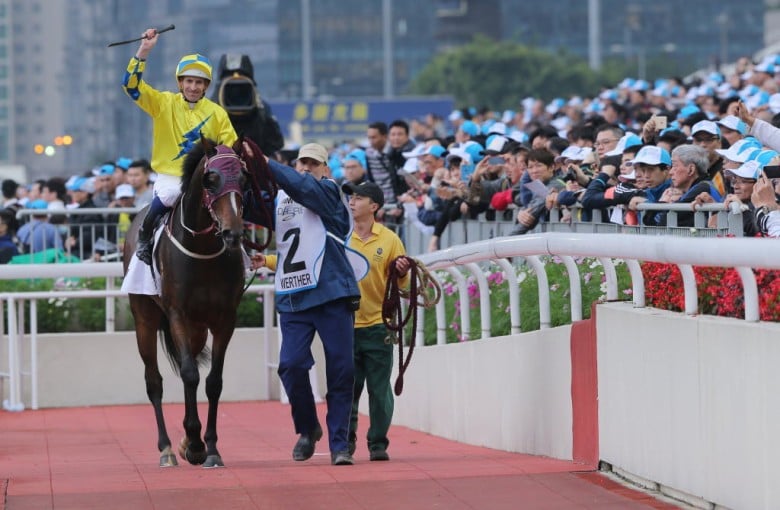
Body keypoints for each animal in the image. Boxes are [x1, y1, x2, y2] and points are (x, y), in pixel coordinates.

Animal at [122, 136, 253, 466]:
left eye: (244, 178)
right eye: (211, 179)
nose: (233, 233)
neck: (203, 252)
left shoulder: (224, 319)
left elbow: (213, 381)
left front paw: (209, 447)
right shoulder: (177, 314)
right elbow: (190, 374)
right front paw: (194, 443)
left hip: (198, 329)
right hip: (145, 318)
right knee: (154, 380)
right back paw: (167, 448)